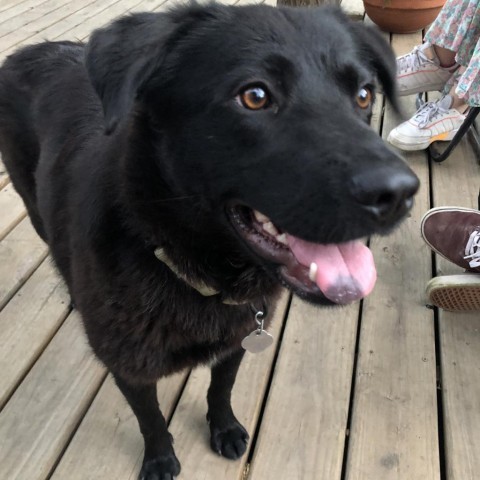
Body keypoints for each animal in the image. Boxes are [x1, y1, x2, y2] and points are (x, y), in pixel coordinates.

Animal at [0, 4, 416, 480]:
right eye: (254, 96)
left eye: (364, 95)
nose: (399, 194)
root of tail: (28, 51)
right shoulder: (129, 366)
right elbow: (150, 418)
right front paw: (160, 458)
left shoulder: (237, 341)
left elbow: (221, 388)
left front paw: (225, 428)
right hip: (33, 205)